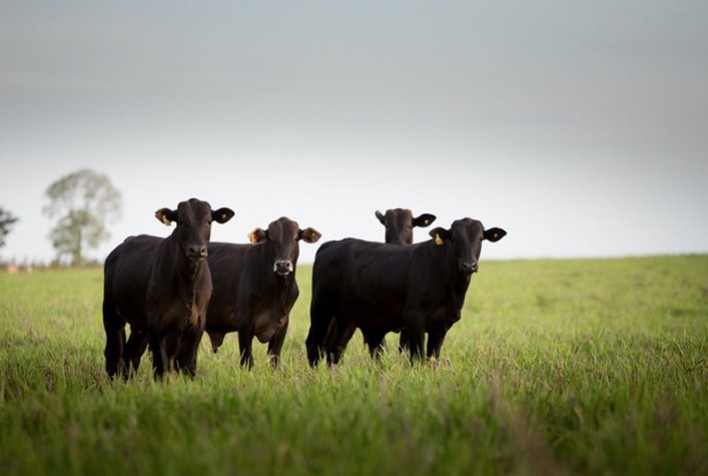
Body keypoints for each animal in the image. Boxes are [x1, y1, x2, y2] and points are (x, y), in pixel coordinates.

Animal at [102, 198, 234, 379]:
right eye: (181, 221)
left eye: (208, 221)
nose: (197, 250)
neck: (187, 284)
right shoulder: (158, 323)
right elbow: (161, 365)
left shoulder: (197, 322)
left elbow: (188, 364)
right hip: (111, 313)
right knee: (114, 351)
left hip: (140, 325)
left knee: (131, 352)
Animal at [205, 217, 321, 369]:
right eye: (270, 238)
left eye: (296, 238)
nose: (282, 264)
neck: (276, 293)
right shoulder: (244, 322)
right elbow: (247, 360)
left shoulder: (282, 324)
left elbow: (275, 360)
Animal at [306, 218, 505, 367]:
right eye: (455, 238)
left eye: (480, 239)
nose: (468, 265)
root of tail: (332, 244)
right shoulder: (414, 318)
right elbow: (418, 358)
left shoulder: (442, 325)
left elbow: (432, 359)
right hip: (321, 309)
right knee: (314, 345)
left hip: (346, 317)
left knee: (335, 349)